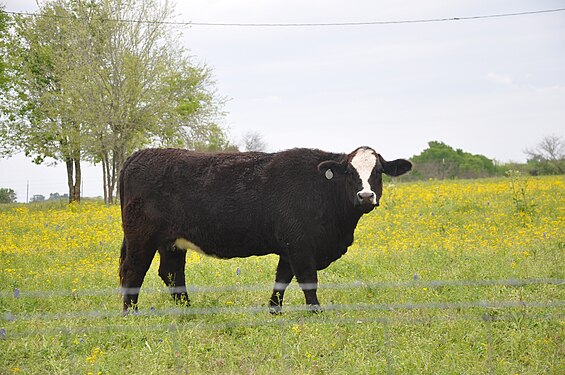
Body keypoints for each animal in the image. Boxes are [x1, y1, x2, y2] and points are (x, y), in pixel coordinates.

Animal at [119, 147, 410, 314]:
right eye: (349, 172)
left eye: (379, 171)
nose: (366, 196)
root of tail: (138, 154)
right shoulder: (300, 245)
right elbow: (308, 280)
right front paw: (316, 313)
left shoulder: (290, 247)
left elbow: (282, 279)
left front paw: (274, 311)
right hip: (141, 237)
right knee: (133, 272)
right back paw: (130, 314)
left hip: (171, 241)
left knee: (172, 274)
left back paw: (187, 311)